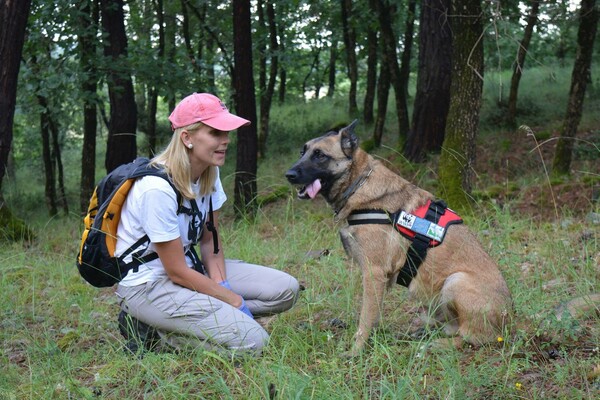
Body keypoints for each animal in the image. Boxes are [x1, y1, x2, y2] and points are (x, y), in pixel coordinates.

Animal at [284, 120, 510, 354]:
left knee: (473, 337)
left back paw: (437, 344)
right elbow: (373, 315)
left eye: (320, 155)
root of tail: (507, 322)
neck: (359, 183)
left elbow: (365, 318)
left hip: (455, 281)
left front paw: (356, 351)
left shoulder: (374, 273)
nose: (288, 174)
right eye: (303, 151)